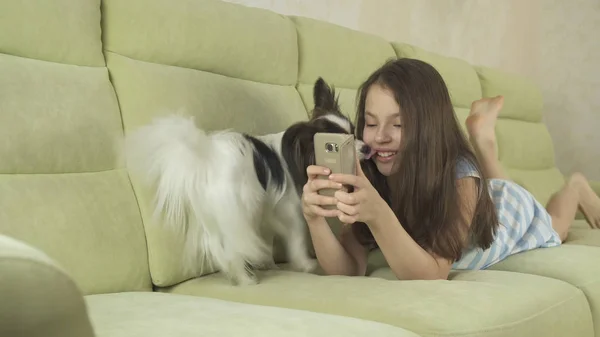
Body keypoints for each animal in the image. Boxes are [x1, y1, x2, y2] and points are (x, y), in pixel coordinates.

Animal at [123, 77, 370, 284]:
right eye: (343, 144)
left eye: (355, 134)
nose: (367, 148)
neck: (296, 158)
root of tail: (207, 157)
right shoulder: (289, 212)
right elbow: (297, 240)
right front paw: (306, 265)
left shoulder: (267, 213)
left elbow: (268, 241)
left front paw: (270, 265)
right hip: (238, 211)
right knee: (231, 248)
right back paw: (246, 280)